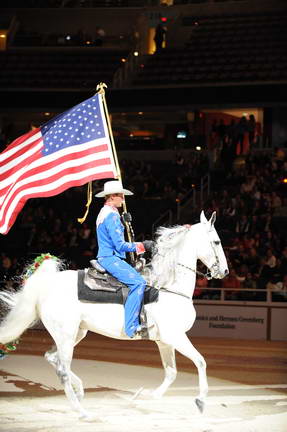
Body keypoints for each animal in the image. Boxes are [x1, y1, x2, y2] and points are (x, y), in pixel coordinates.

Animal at [0, 211, 230, 420]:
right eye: (217, 241)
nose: (225, 272)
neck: (167, 287)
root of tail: (47, 285)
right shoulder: (176, 336)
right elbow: (200, 361)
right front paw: (200, 400)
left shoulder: (165, 341)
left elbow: (171, 372)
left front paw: (147, 396)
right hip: (66, 335)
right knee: (62, 369)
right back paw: (83, 412)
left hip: (76, 333)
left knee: (52, 358)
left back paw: (80, 390)